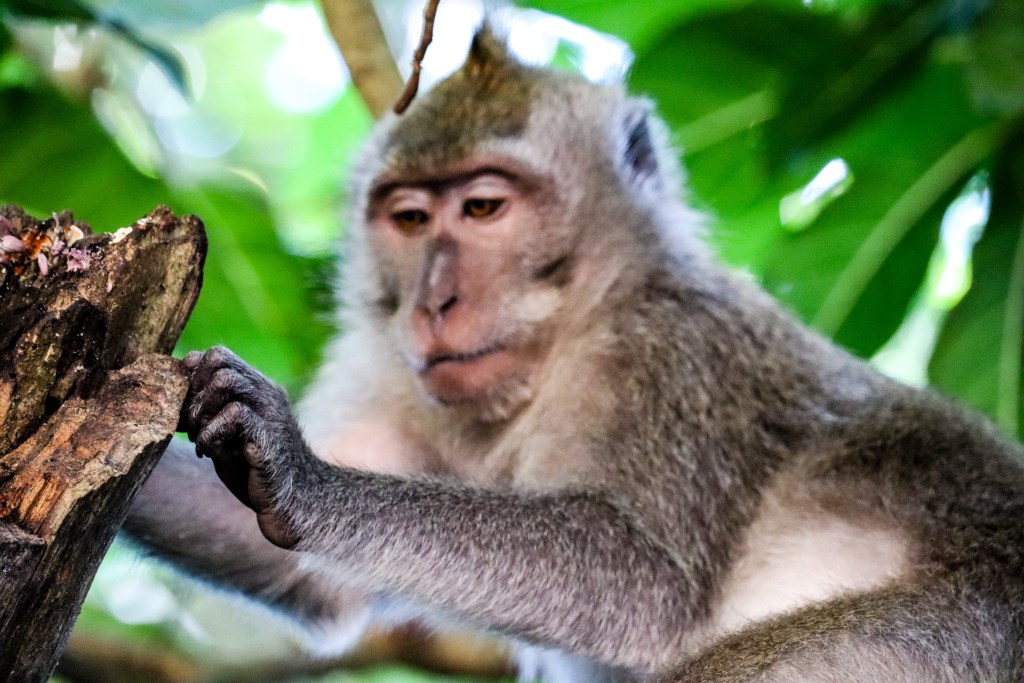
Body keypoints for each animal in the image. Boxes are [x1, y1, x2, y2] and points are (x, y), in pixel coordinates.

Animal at [125, 26, 1024, 682]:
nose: (433, 303)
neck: (564, 342)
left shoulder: (674, 354)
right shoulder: (391, 375)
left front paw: (299, 472)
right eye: (409, 219)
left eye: (483, 208)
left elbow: (646, 586)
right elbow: (305, 572)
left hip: (955, 637)